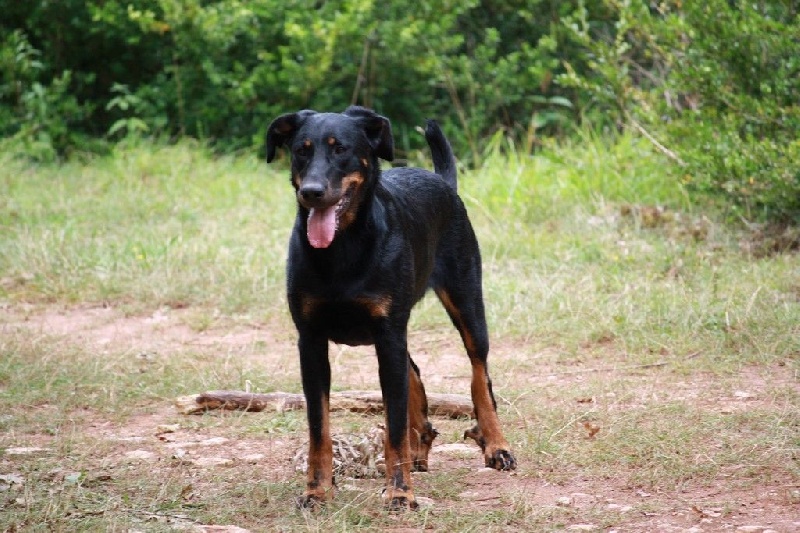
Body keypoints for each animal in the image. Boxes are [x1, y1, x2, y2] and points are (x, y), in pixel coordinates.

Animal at [268, 107, 520, 508]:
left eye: (341, 149)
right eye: (300, 150)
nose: (312, 192)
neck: (343, 248)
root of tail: (443, 181)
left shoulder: (388, 335)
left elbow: (396, 423)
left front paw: (400, 493)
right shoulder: (311, 340)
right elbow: (319, 426)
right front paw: (317, 490)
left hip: (466, 303)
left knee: (480, 375)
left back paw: (495, 445)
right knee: (413, 370)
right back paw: (422, 444)